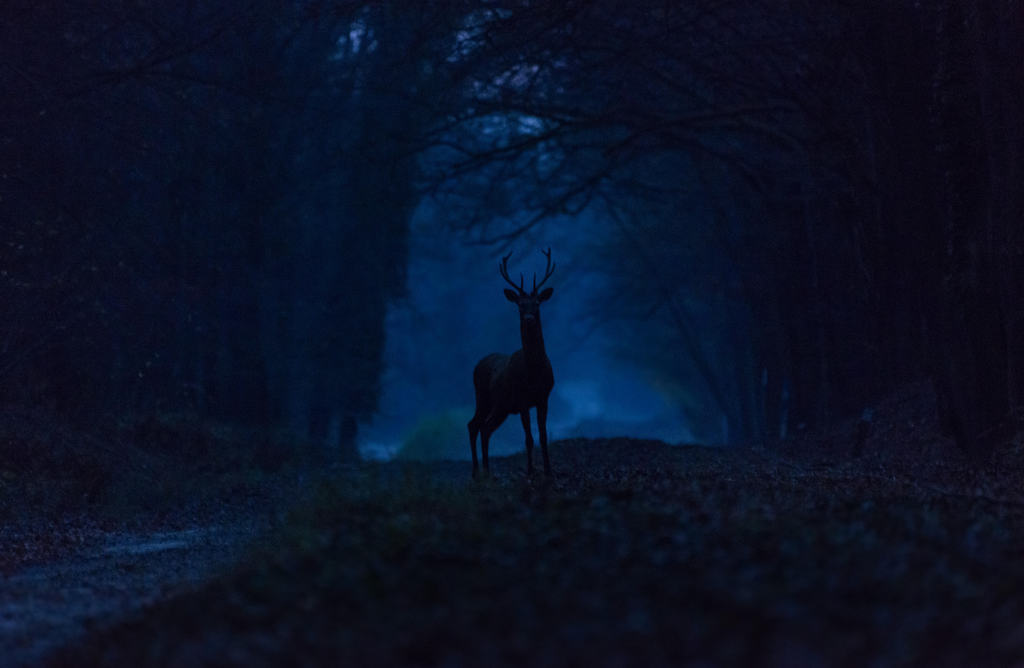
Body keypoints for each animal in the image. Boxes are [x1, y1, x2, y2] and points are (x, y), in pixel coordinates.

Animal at [468, 247, 557, 477]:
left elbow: (543, 436)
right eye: (519, 305)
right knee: (474, 425)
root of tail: (477, 365)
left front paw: (548, 471)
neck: (534, 373)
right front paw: (530, 472)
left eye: (537, 304)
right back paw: (478, 472)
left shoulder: (544, 397)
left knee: (485, 427)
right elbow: (528, 438)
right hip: (483, 397)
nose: (529, 319)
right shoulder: (523, 399)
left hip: (501, 407)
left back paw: (486, 471)